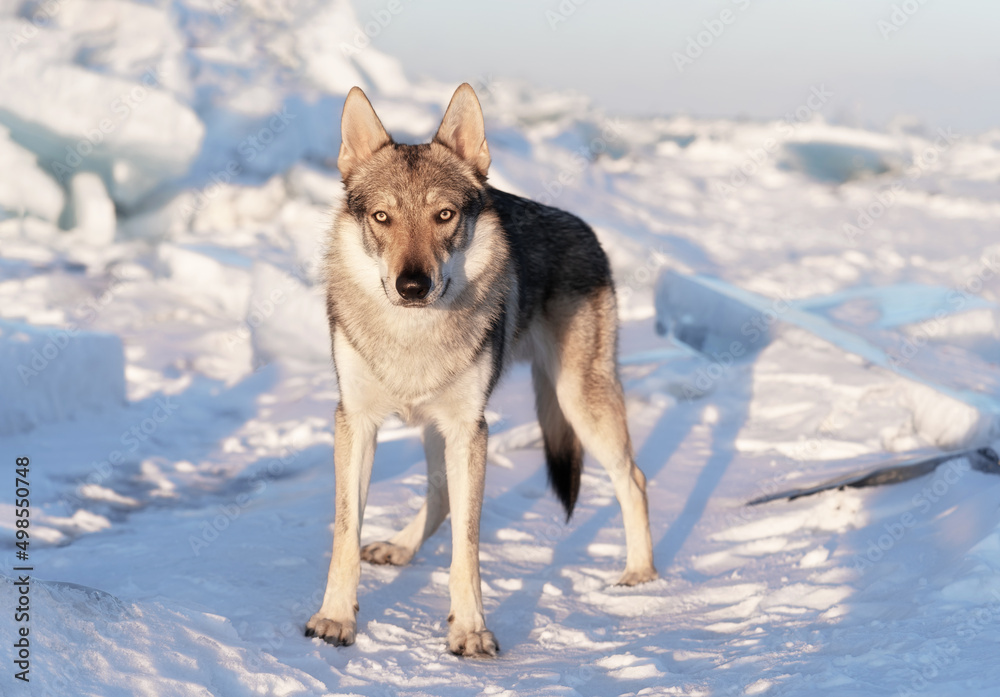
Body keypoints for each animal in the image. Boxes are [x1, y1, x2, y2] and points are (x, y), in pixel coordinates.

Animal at [305, 83, 657, 657]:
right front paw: (334, 620)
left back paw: (641, 576)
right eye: (382, 218)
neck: (412, 336)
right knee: (440, 495)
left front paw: (469, 631)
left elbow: (466, 548)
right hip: (443, 426)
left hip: (579, 403)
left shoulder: (471, 428)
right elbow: (344, 534)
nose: (412, 286)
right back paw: (400, 548)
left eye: (444, 215)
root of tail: (587, 228)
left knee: (634, 478)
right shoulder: (356, 422)